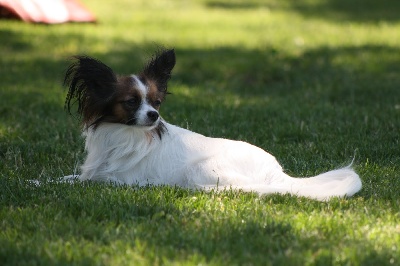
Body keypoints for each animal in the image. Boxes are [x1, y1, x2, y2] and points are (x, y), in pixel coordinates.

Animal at [64, 48, 360, 201]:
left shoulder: (119, 180)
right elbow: (64, 179)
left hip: (201, 169)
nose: (154, 116)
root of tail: (277, 174)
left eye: (156, 103)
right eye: (131, 102)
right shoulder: (92, 173)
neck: (123, 134)